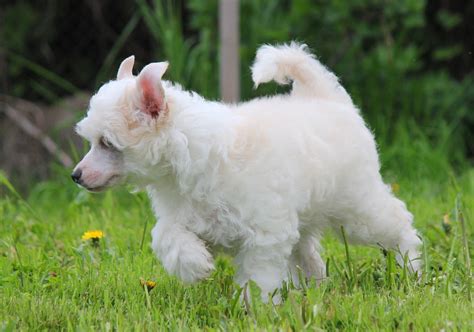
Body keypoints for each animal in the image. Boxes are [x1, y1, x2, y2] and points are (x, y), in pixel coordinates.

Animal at [72, 42, 420, 302]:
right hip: (306, 216)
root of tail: (325, 98)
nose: (76, 175)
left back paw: (412, 268)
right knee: (308, 254)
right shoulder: (181, 215)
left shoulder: (265, 233)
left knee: (398, 222)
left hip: (356, 206)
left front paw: (256, 309)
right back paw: (314, 289)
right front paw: (195, 265)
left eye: (107, 143)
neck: (189, 154)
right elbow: (166, 236)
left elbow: (258, 275)